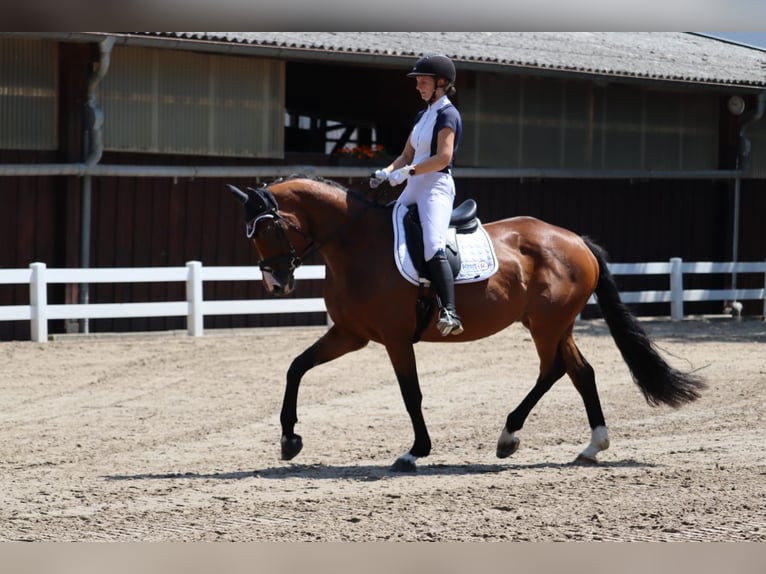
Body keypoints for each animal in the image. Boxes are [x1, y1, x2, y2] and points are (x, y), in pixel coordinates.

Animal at [227, 175, 705, 472]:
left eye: (264, 229)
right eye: (249, 232)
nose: (276, 281)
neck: (358, 244)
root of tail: (575, 239)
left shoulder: (396, 339)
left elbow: (411, 393)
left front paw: (414, 453)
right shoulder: (350, 335)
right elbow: (296, 367)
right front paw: (289, 440)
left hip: (547, 325)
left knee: (553, 370)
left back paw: (509, 436)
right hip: (554, 324)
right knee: (580, 372)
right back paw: (592, 446)